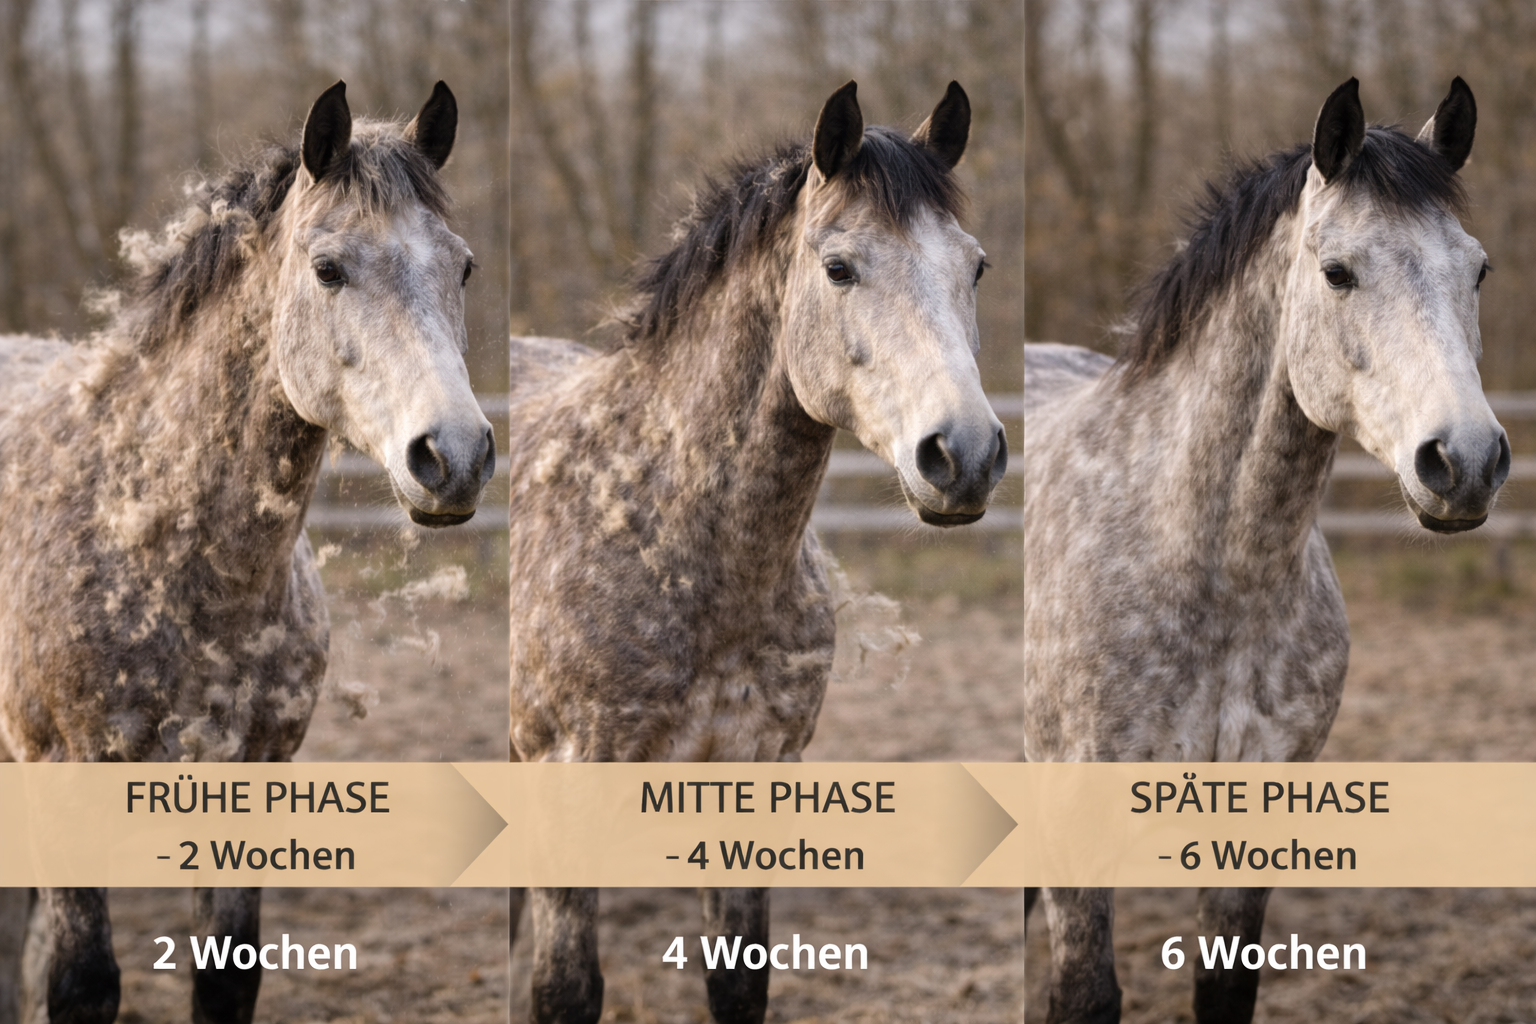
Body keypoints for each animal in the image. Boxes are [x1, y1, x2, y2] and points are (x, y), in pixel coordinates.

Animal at [0, 80, 493, 1024]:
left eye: (462, 267)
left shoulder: (248, 776)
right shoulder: (64, 776)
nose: (455, 456)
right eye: (328, 269)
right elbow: (81, 983)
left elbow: (226, 978)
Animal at [505, 80, 1006, 1024]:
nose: (964, 454)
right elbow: (564, 989)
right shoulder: (569, 777)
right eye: (839, 268)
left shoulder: (754, 772)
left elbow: (739, 982)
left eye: (976, 267)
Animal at [1023, 78, 1504, 1023]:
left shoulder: (1256, 818)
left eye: (1476, 269)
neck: (1213, 575)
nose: (1465, 461)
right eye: (1337, 271)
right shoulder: (1075, 829)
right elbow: (1084, 996)